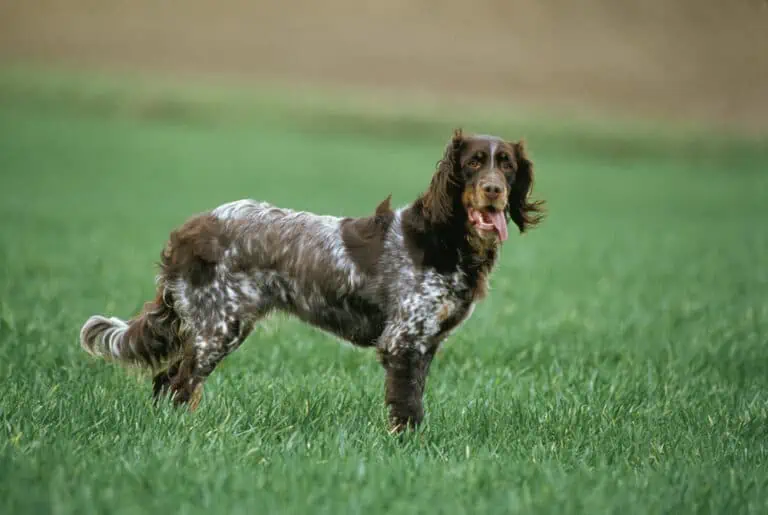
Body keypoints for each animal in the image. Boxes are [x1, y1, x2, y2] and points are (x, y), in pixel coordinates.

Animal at [81, 128, 544, 432]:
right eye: (473, 163)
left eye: (506, 164)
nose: (493, 190)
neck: (447, 239)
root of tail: (189, 230)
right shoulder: (403, 340)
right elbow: (406, 408)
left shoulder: (425, 343)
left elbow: (413, 403)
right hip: (219, 326)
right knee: (179, 384)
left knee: (167, 382)